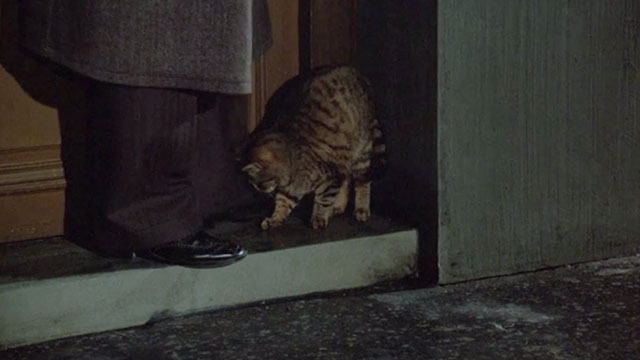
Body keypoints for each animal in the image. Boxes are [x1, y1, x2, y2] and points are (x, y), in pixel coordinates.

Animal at [239, 65, 384, 229]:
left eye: (259, 185)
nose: (260, 192)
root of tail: (359, 74)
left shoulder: (331, 176)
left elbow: (323, 200)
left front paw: (319, 218)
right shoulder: (291, 190)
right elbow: (283, 203)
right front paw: (275, 219)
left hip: (361, 151)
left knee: (362, 181)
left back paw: (361, 209)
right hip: (346, 156)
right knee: (347, 178)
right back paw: (338, 206)